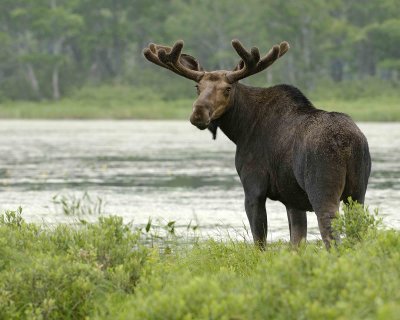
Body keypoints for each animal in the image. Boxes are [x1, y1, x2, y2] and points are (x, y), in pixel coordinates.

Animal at [142, 40, 370, 249]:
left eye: (227, 89)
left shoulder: (253, 188)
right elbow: (296, 242)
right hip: (358, 194)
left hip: (322, 190)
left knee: (332, 236)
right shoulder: (293, 199)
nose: (198, 113)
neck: (240, 129)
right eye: (198, 87)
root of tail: (347, 143)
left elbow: (260, 242)